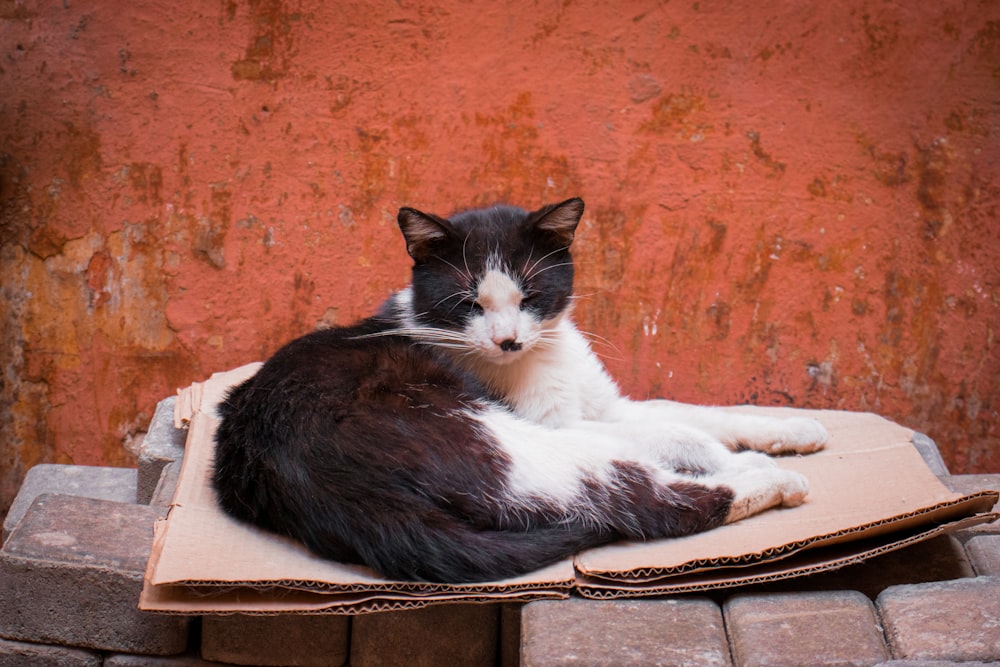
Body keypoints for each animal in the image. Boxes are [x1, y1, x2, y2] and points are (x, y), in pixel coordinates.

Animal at [213, 196, 828, 580]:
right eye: (468, 304)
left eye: (530, 295)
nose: (507, 341)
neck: (545, 353)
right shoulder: (562, 422)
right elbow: (681, 433)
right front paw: (737, 456)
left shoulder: (609, 405)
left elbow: (698, 411)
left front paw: (795, 428)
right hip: (504, 439)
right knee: (646, 502)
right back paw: (775, 480)